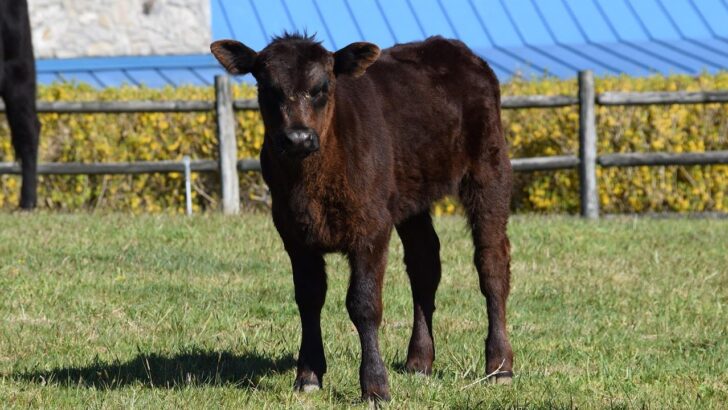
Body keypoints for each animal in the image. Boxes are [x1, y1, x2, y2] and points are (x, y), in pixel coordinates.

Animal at [211, 33, 513, 401]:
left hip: (489, 168)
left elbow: (364, 304)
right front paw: (308, 375)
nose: (298, 138)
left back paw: (499, 365)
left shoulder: (371, 227)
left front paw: (375, 386)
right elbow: (308, 298)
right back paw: (419, 361)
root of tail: (452, 48)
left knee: (491, 263)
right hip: (410, 196)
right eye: (268, 88)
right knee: (425, 264)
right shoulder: (292, 231)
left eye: (323, 87)